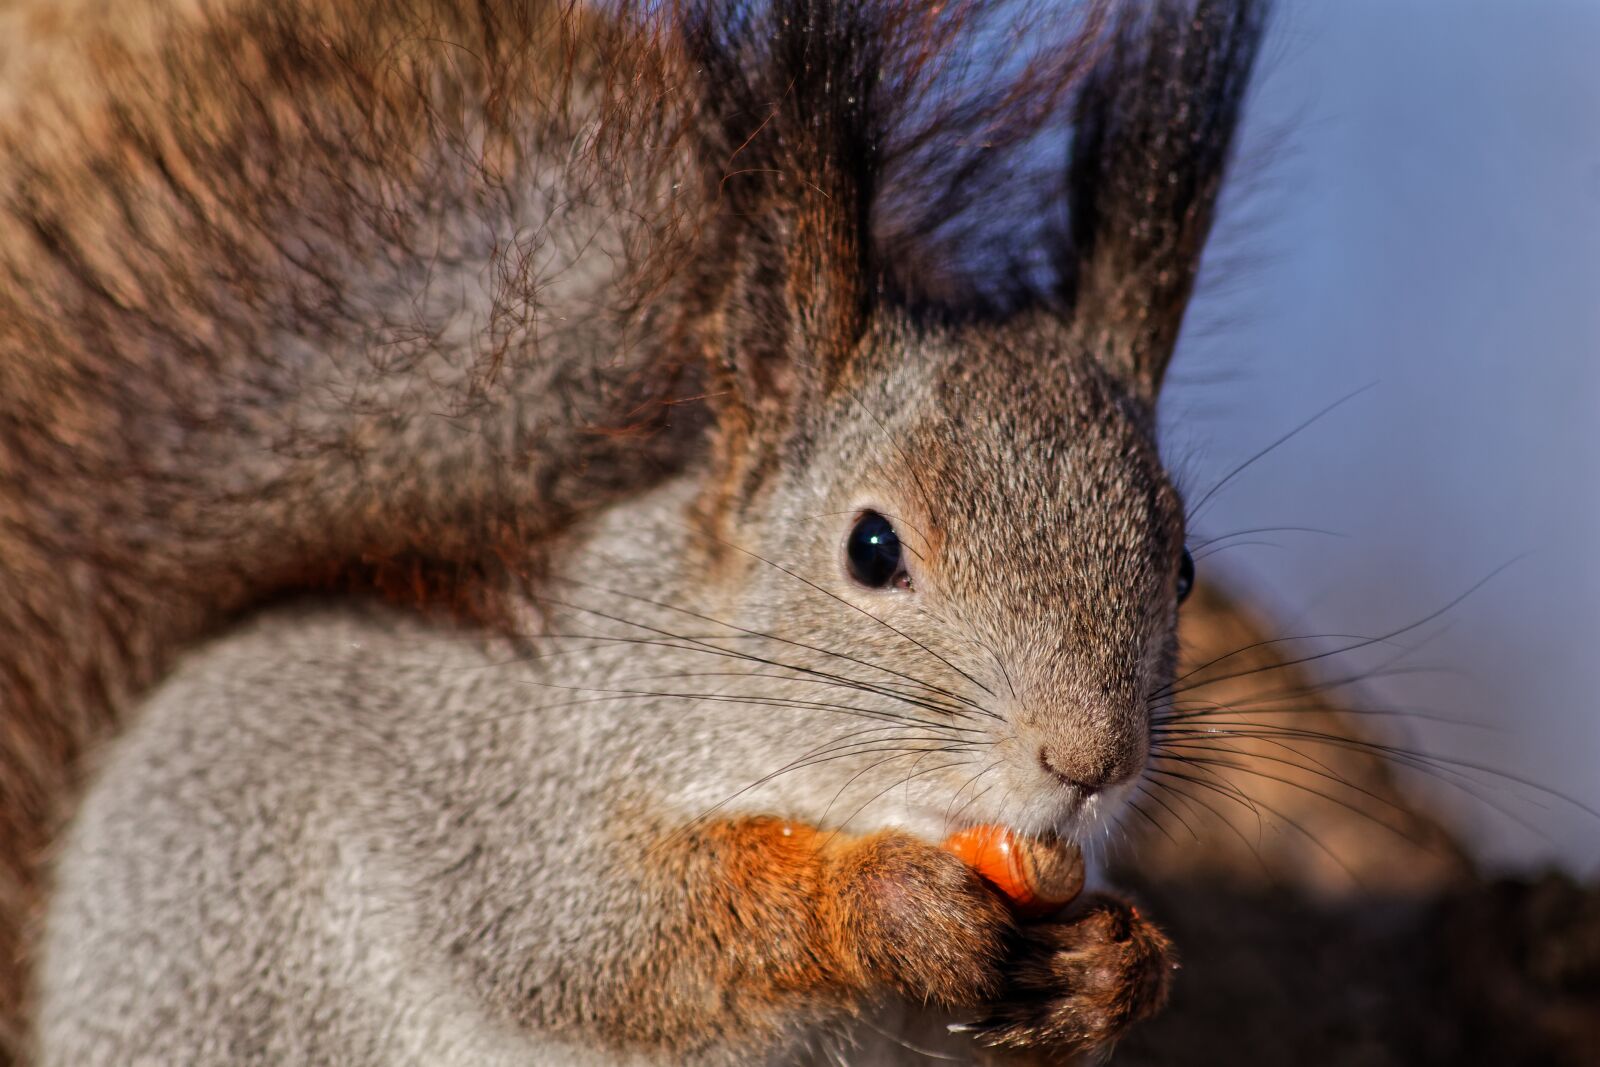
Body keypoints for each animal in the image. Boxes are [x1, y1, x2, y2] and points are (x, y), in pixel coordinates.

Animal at [2, 0, 1265, 1062]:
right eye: (871, 548)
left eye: (1181, 565)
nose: (1087, 760)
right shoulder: (509, 788)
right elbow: (601, 926)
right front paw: (880, 902)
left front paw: (1116, 966)